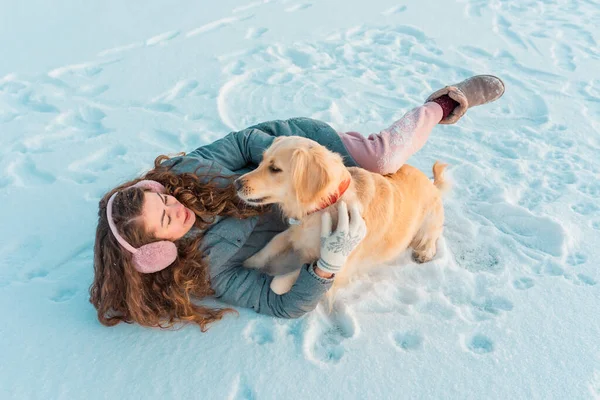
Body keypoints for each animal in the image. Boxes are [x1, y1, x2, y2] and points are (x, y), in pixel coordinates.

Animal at [234, 136, 446, 296]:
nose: (236, 183)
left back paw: (425, 252)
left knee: (432, 236)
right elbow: (274, 242)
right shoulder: (297, 231)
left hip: (431, 219)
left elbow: (277, 284)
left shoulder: (340, 270)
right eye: (261, 161)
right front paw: (250, 262)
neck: (327, 204)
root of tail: (432, 183)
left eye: (275, 169)